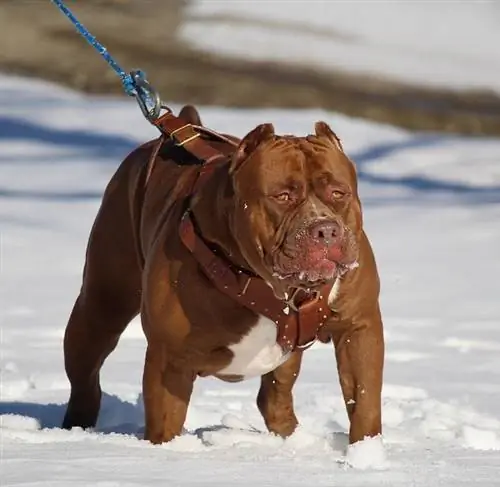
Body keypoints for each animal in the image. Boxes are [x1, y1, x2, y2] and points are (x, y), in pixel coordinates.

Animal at [61, 106, 382, 446]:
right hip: (101, 306)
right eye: (282, 196)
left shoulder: (359, 327)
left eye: (338, 193)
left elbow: (364, 401)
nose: (326, 230)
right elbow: (165, 424)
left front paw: (366, 449)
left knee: (275, 397)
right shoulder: (170, 358)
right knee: (85, 377)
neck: (276, 287)